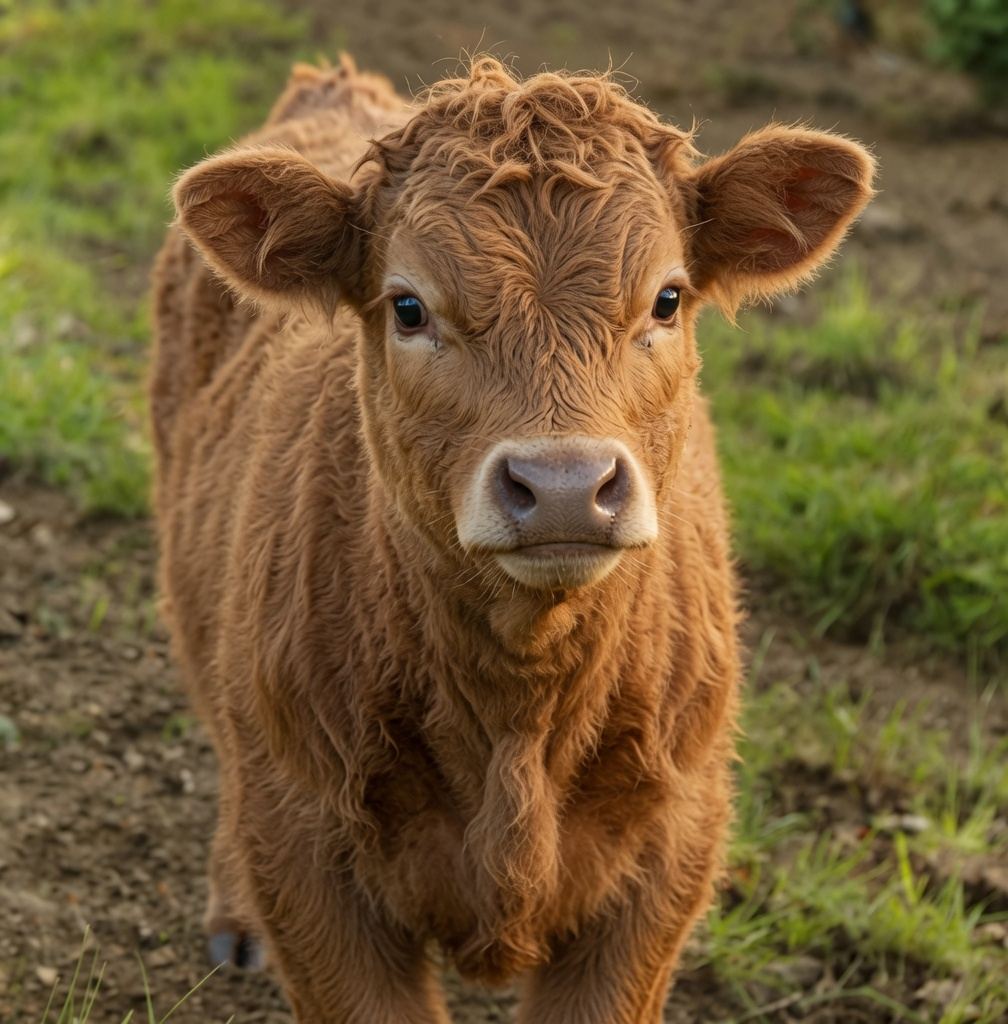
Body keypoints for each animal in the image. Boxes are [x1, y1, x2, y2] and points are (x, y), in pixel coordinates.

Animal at [151, 55, 874, 1023]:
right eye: (408, 307)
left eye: (668, 298)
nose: (565, 488)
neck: (520, 709)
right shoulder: (308, 855)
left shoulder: (668, 854)